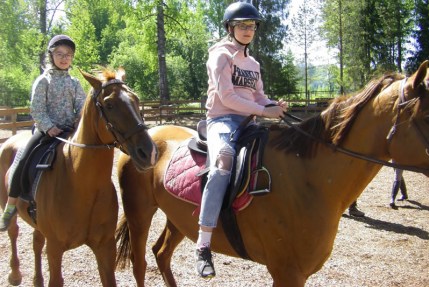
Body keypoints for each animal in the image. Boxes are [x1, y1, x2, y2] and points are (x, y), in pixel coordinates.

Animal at [0, 68, 157, 286]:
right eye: (109, 104)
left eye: (136, 100)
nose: (149, 153)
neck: (81, 184)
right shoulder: (55, 249)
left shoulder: (105, 247)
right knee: (13, 231)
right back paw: (15, 274)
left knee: (36, 241)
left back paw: (37, 279)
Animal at [115, 61, 428, 287]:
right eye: (425, 116)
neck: (310, 178)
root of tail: (148, 138)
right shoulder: (286, 273)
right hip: (139, 214)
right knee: (140, 263)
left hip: (178, 219)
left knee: (161, 253)